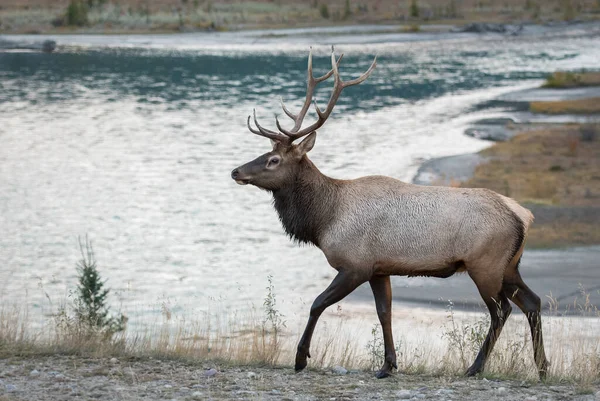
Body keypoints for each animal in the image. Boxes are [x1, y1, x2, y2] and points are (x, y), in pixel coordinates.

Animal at [230, 46, 548, 378]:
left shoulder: (355, 264)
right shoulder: (379, 268)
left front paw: (301, 358)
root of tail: (523, 216)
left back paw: (475, 366)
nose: (236, 171)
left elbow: (317, 303)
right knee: (533, 302)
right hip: (509, 265)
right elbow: (385, 312)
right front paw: (388, 364)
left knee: (502, 310)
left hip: (485, 264)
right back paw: (542, 368)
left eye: (274, 160)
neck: (324, 220)